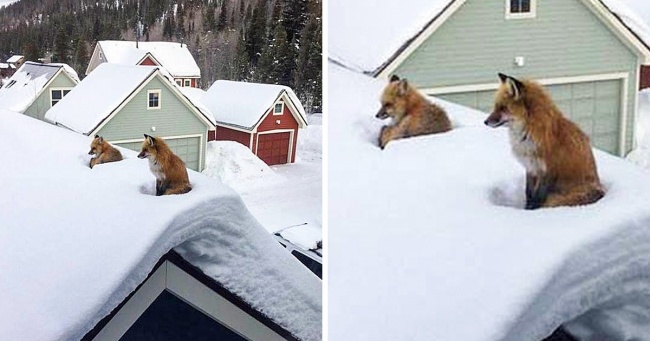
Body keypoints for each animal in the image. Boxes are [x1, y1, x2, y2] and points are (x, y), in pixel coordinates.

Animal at [480, 73, 604, 209]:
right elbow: (528, 193)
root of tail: (601, 190)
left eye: (503, 108)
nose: (485, 122)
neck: (528, 135)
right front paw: (527, 208)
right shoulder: (531, 167)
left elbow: (538, 197)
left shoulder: (547, 171)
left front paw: (533, 210)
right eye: (496, 106)